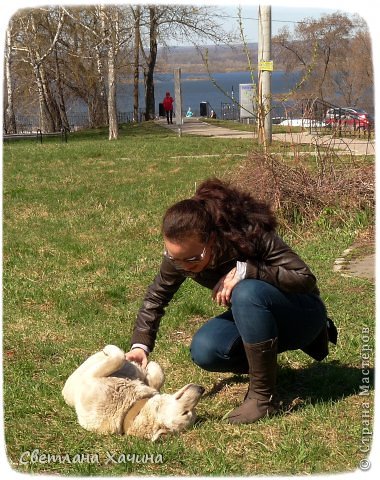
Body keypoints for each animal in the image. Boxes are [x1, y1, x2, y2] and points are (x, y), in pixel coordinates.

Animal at [62, 344, 205, 442]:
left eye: (187, 413)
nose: (202, 389)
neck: (130, 406)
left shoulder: (90, 380)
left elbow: (118, 358)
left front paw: (109, 349)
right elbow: (156, 373)